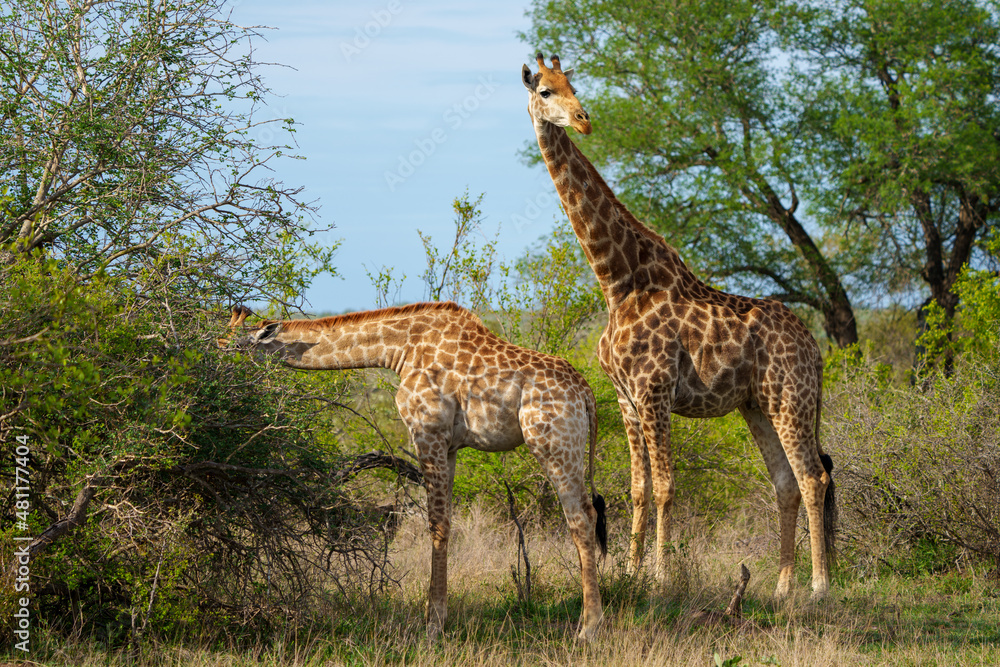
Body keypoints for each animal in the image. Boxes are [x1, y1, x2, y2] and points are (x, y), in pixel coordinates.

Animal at [224, 302, 607, 640]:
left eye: (241, 342)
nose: (218, 351)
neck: (401, 350)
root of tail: (586, 392)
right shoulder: (449, 445)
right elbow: (444, 520)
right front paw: (436, 618)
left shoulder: (427, 430)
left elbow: (437, 524)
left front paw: (433, 625)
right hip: (567, 447)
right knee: (589, 513)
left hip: (552, 443)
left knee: (579, 519)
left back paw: (588, 629)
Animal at [521, 54, 836, 599]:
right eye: (545, 90)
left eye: (572, 85)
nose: (583, 120)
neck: (615, 280)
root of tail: (814, 349)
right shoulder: (626, 397)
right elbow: (638, 488)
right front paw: (630, 573)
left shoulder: (654, 389)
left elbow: (667, 486)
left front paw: (662, 578)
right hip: (757, 405)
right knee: (785, 482)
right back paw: (781, 586)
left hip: (789, 397)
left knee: (813, 477)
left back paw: (818, 586)